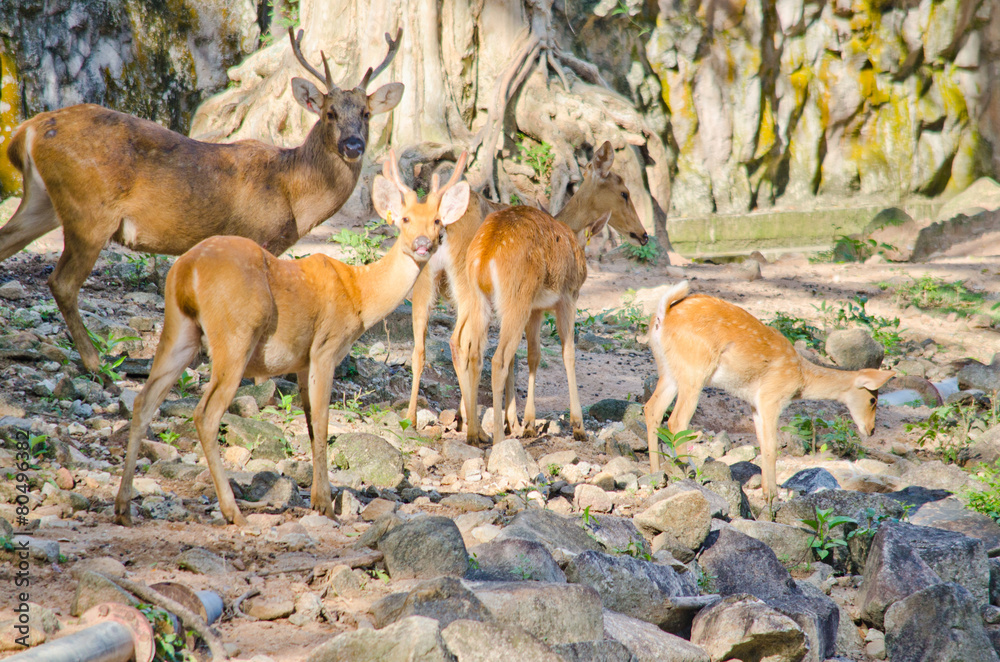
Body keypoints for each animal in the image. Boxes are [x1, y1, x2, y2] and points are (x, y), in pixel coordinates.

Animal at [0, 27, 404, 375]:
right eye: (329, 113)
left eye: (366, 114)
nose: (353, 145)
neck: (292, 191)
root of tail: (27, 130)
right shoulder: (256, 234)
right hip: (89, 211)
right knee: (62, 282)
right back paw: (97, 362)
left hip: (43, 202)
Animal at [113, 149, 470, 527]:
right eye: (404, 219)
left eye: (437, 222)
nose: (422, 244)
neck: (359, 295)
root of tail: (187, 269)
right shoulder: (326, 346)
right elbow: (324, 420)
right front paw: (325, 504)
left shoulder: (301, 361)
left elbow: (311, 423)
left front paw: (317, 499)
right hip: (235, 334)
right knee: (205, 415)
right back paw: (233, 511)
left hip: (179, 330)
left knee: (144, 401)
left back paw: (123, 508)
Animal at [404, 141, 649, 429]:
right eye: (624, 193)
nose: (643, 234)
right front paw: (516, 420)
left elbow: (514, 357)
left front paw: (511, 419)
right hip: (467, 289)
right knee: (460, 342)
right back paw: (471, 422)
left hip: (423, 283)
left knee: (420, 349)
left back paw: (413, 418)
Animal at [644, 280, 896, 502]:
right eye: (873, 400)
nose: (871, 430)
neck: (800, 377)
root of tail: (663, 315)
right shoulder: (772, 398)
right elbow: (773, 447)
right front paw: (773, 496)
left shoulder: (756, 404)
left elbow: (763, 445)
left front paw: (768, 492)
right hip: (694, 372)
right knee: (677, 420)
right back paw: (691, 475)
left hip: (669, 371)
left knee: (652, 409)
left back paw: (656, 474)